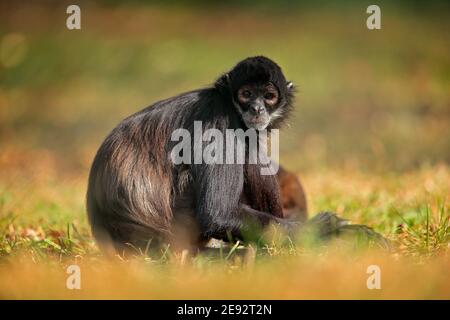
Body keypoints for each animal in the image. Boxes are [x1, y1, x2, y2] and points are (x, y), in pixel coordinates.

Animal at [86, 55, 388, 255]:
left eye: (268, 96)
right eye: (246, 94)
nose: (256, 108)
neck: (225, 102)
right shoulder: (219, 121)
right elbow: (218, 215)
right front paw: (327, 230)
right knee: (250, 153)